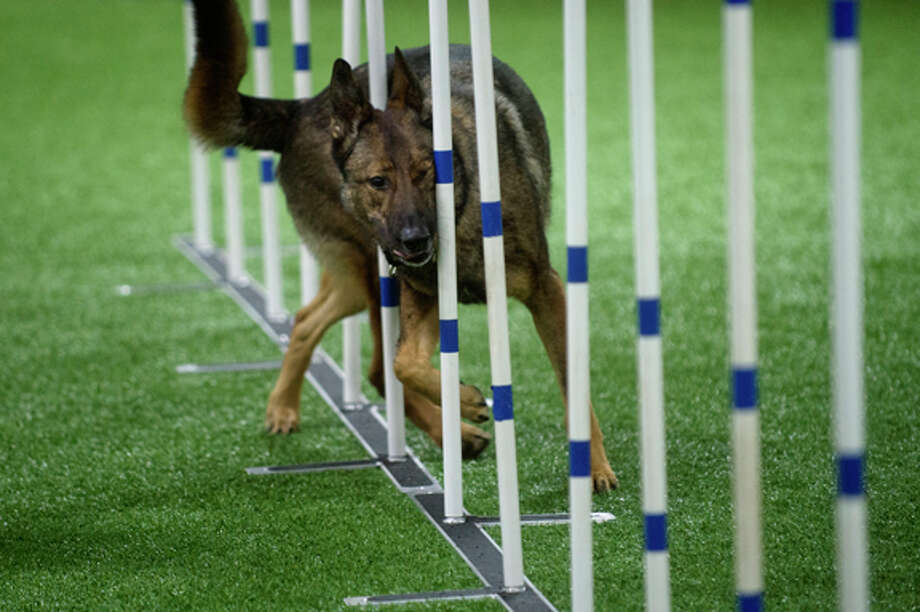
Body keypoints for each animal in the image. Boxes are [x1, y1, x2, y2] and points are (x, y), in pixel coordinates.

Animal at [184, 0, 620, 490]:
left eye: (426, 172)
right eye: (379, 181)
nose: (414, 240)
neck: (460, 208)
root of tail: (304, 109)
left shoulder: (545, 289)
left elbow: (570, 384)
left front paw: (595, 468)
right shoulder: (420, 293)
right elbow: (404, 365)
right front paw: (465, 401)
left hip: (357, 282)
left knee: (307, 320)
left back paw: (283, 406)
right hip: (372, 276)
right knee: (375, 365)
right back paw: (453, 434)